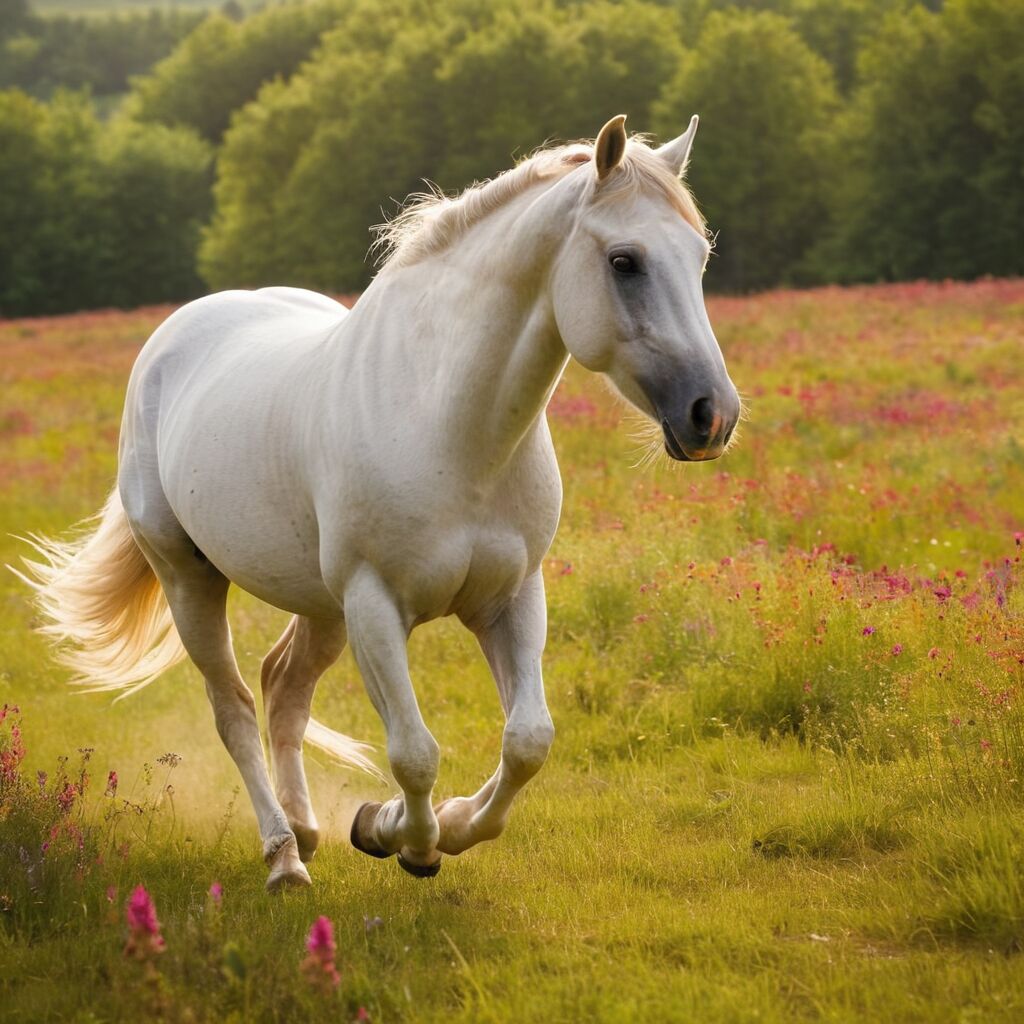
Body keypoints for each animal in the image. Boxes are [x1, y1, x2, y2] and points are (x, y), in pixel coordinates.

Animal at [22, 116, 737, 892]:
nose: (712, 416)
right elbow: (413, 751)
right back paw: (283, 858)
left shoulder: (511, 597)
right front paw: (411, 842)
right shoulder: (375, 604)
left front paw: (419, 824)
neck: (451, 428)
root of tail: (173, 339)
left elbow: (528, 741)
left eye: (699, 256)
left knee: (283, 690)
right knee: (234, 708)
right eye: (624, 261)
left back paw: (307, 830)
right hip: (193, 581)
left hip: (321, 606)